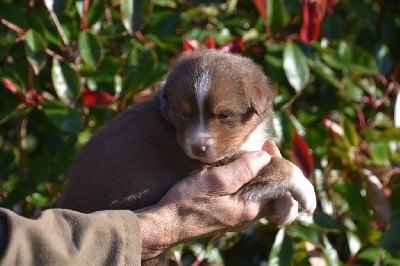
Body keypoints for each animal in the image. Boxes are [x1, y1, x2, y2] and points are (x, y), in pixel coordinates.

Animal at [59, 50, 316, 264]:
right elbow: (279, 165)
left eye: (223, 116)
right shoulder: (219, 163)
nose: (198, 147)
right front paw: (306, 192)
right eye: (184, 114)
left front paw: (287, 207)